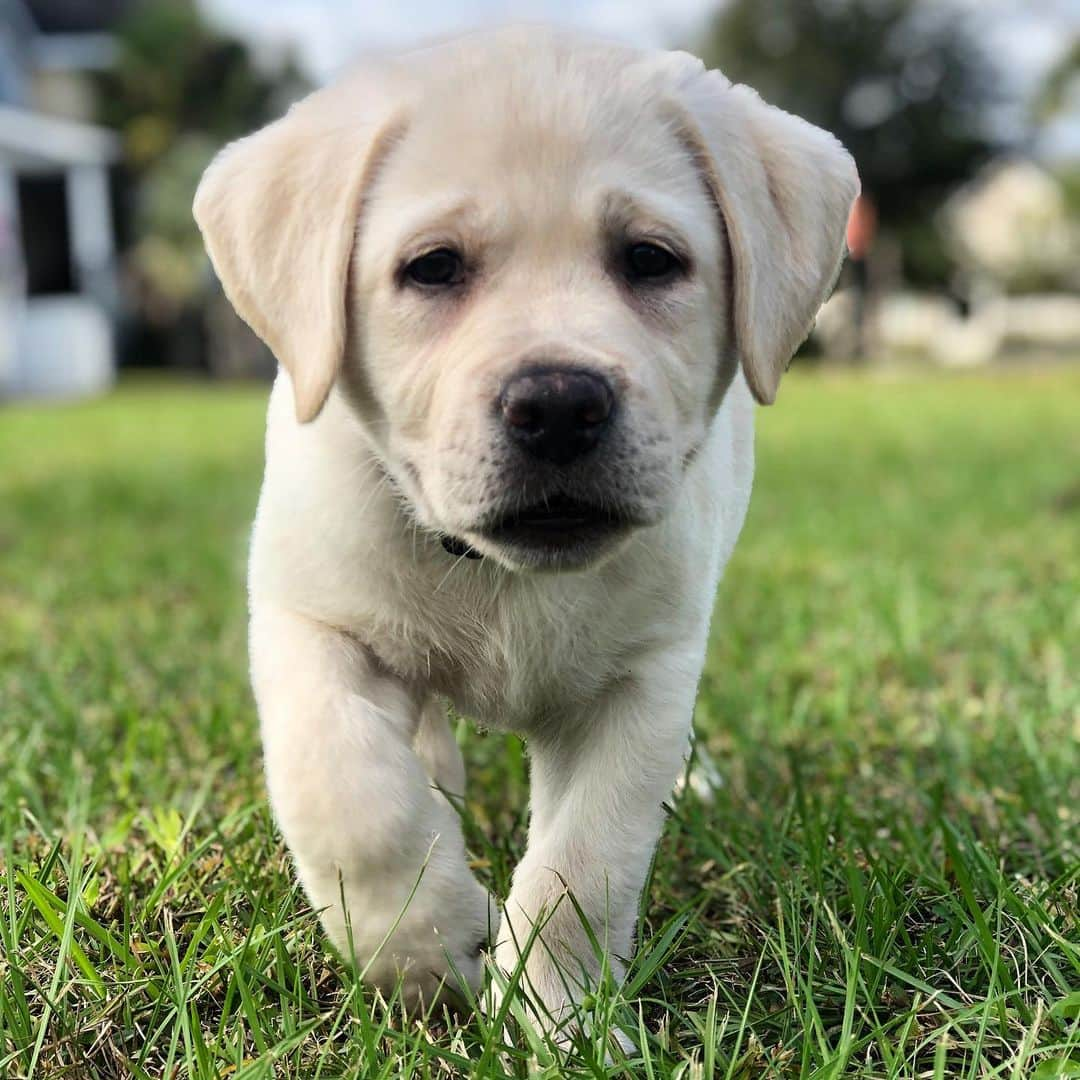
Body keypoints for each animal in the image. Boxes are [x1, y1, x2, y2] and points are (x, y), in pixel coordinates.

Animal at [192, 23, 851, 1019]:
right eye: (433, 267)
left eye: (650, 259)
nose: (559, 405)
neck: (500, 572)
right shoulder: (311, 620)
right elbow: (348, 790)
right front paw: (426, 948)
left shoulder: (640, 681)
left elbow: (585, 866)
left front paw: (557, 1016)